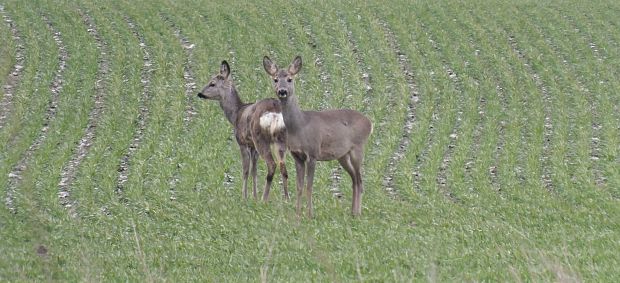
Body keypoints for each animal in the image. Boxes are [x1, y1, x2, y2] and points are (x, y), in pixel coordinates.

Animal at [196, 60, 288, 202]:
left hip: (261, 138)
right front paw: (254, 196)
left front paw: (244, 197)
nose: (200, 93)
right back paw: (287, 199)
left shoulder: (242, 142)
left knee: (272, 164)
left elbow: (245, 170)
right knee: (283, 166)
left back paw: (264, 199)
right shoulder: (252, 146)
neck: (236, 114)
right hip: (280, 139)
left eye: (212, 83)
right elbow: (254, 170)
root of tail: (275, 110)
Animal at [262, 56, 372, 217]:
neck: (300, 126)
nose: (282, 91)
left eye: (289, 79)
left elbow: (309, 186)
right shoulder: (297, 156)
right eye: (275, 79)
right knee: (354, 179)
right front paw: (297, 214)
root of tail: (370, 122)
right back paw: (352, 212)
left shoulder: (312, 153)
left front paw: (309, 215)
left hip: (358, 147)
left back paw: (357, 213)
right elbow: (299, 186)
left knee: (359, 179)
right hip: (342, 155)